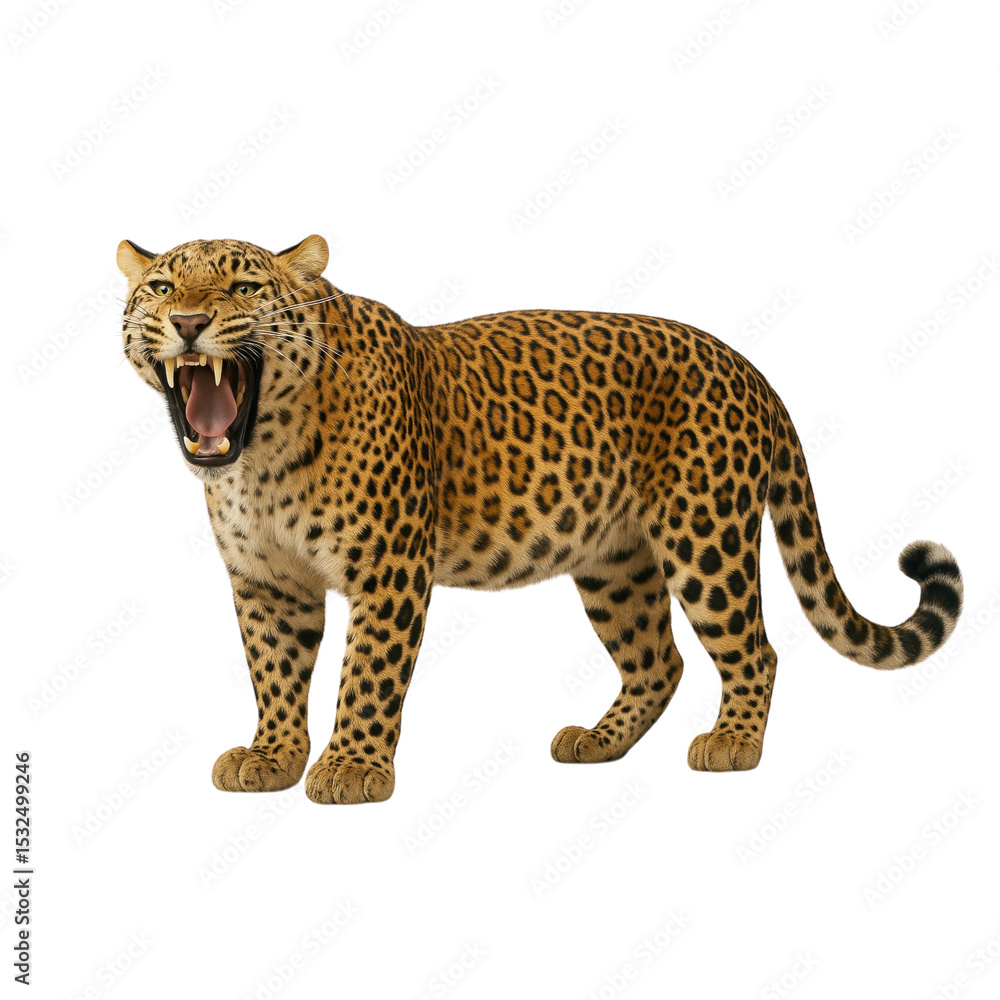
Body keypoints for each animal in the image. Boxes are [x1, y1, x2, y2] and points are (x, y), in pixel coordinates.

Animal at [118, 234, 964, 804]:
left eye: (242, 286)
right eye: (160, 286)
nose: (187, 321)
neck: (257, 459)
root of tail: (749, 368)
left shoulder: (389, 569)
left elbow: (367, 672)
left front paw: (351, 768)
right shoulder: (268, 583)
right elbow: (274, 671)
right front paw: (271, 756)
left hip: (705, 535)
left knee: (754, 649)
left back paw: (731, 744)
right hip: (615, 562)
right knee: (659, 661)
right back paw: (597, 742)